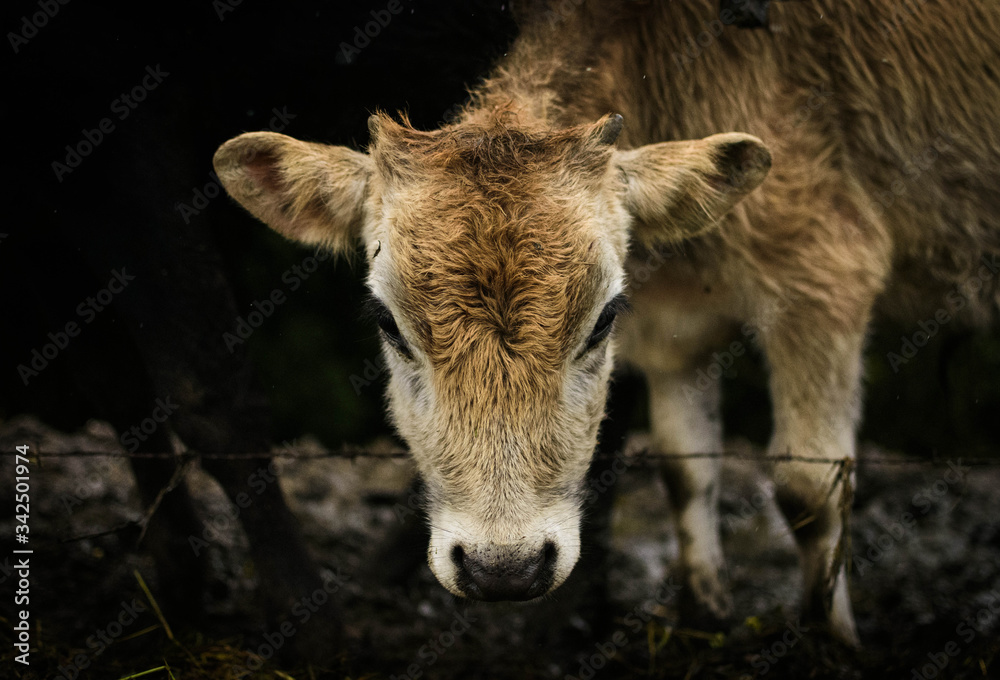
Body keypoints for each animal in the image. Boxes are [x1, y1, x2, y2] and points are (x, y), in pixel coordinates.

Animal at [213, 0, 1000, 645]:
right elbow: (687, 468)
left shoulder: (826, 278)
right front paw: (704, 617)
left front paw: (828, 645)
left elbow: (808, 491)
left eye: (599, 321)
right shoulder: (676, 333)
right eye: (387, 321)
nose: (506, 568)